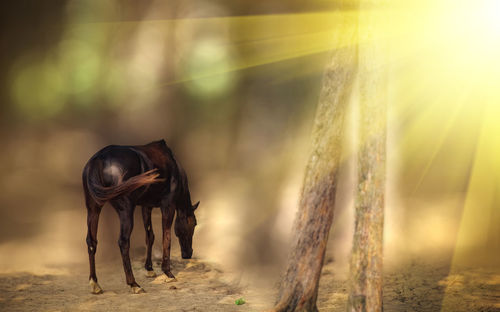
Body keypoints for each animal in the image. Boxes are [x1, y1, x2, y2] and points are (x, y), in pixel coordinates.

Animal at [82, 140, 199, 294]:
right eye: (194, 224)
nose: (188, 253)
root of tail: (98, 159)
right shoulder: (168, 205)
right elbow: (166, 237)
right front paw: (168, 273)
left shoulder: (146, 206)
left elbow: (150, 236)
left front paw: (149, 269)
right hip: (125, 210)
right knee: (123, 242)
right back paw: (134, 284)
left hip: (93, 208)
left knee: (91, 241)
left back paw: (95, 283)